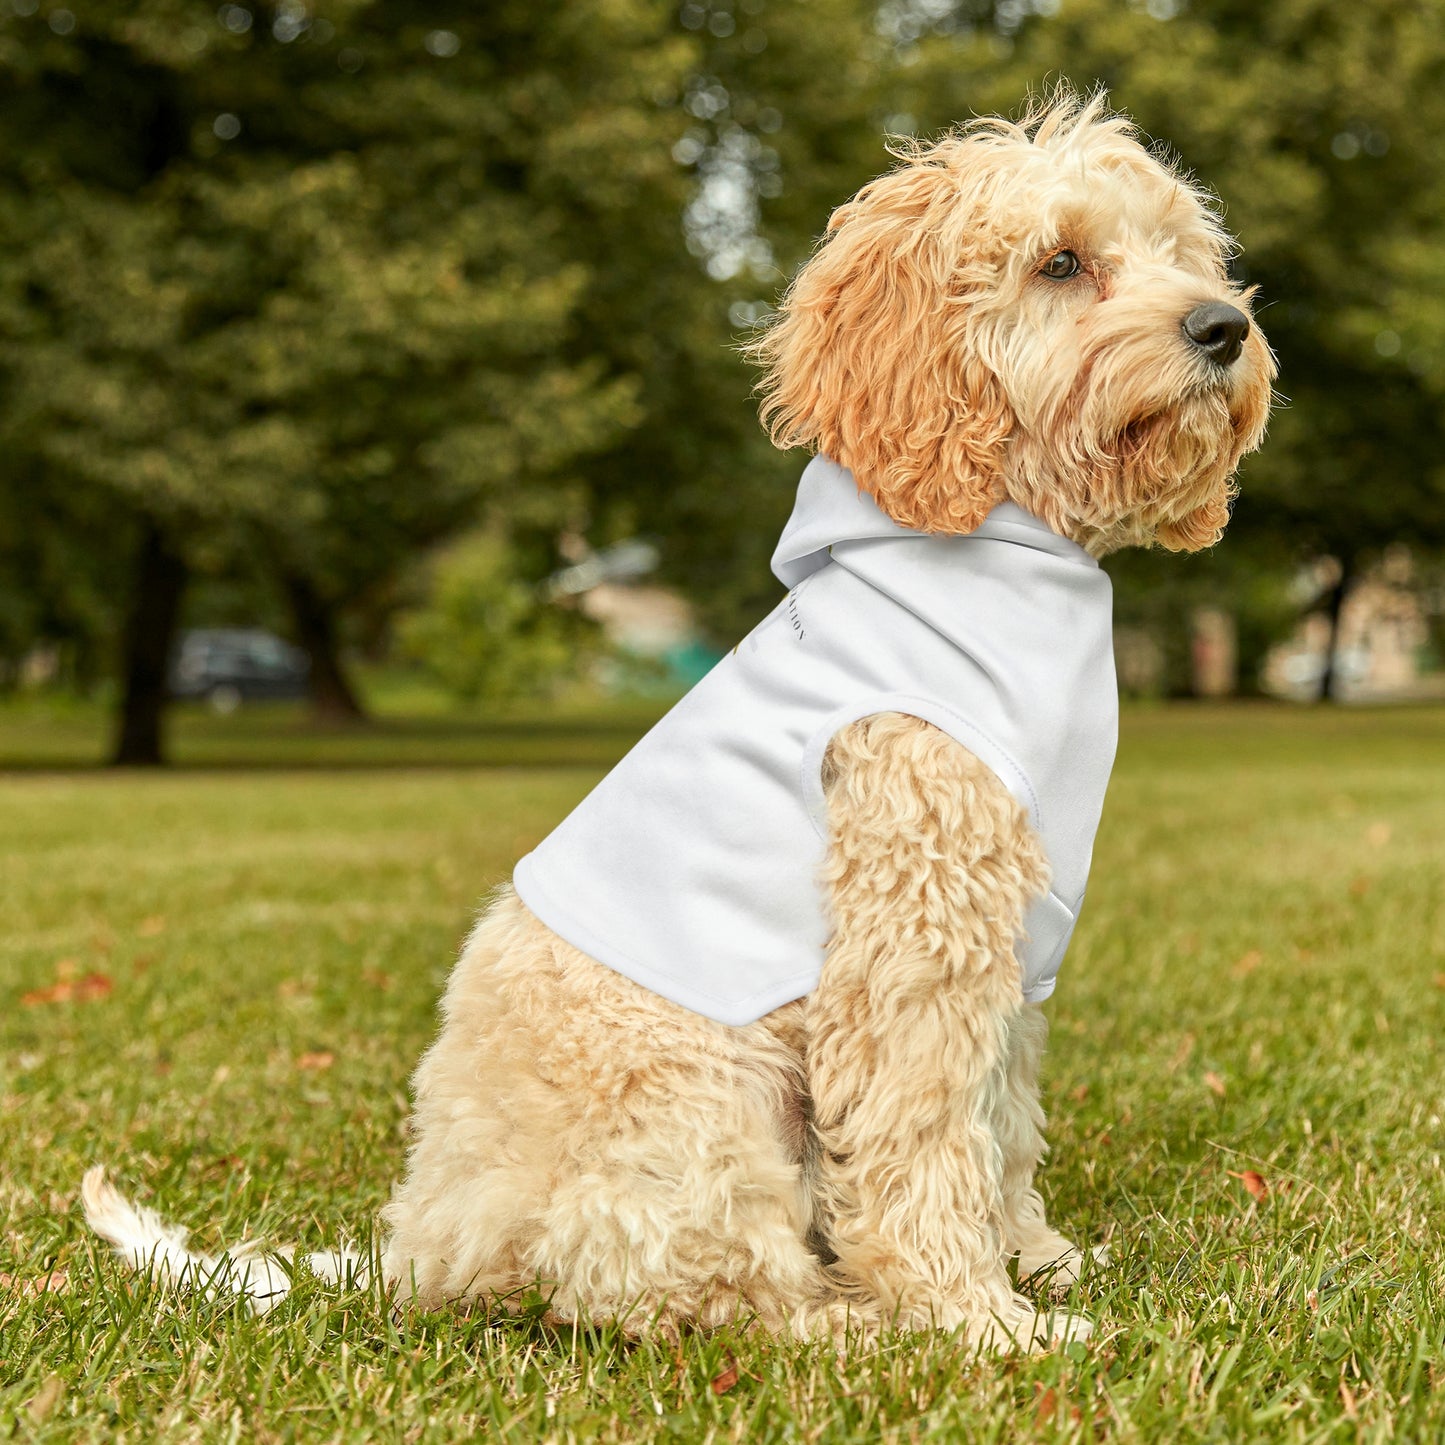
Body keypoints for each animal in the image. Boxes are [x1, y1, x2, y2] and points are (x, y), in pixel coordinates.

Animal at [84, 93, 1271, 1352]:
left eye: (1180, 252)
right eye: (1060, 262)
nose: (1222, 327)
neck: (998, 545)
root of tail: (423, 1245)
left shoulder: (1009, 947)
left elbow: (999, 1123)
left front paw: (1036, 1259)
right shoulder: (913, 938)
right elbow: (922, 1140)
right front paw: (977, 1319)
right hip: (703, 1099)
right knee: (701, 1292)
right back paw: (852, 1323)